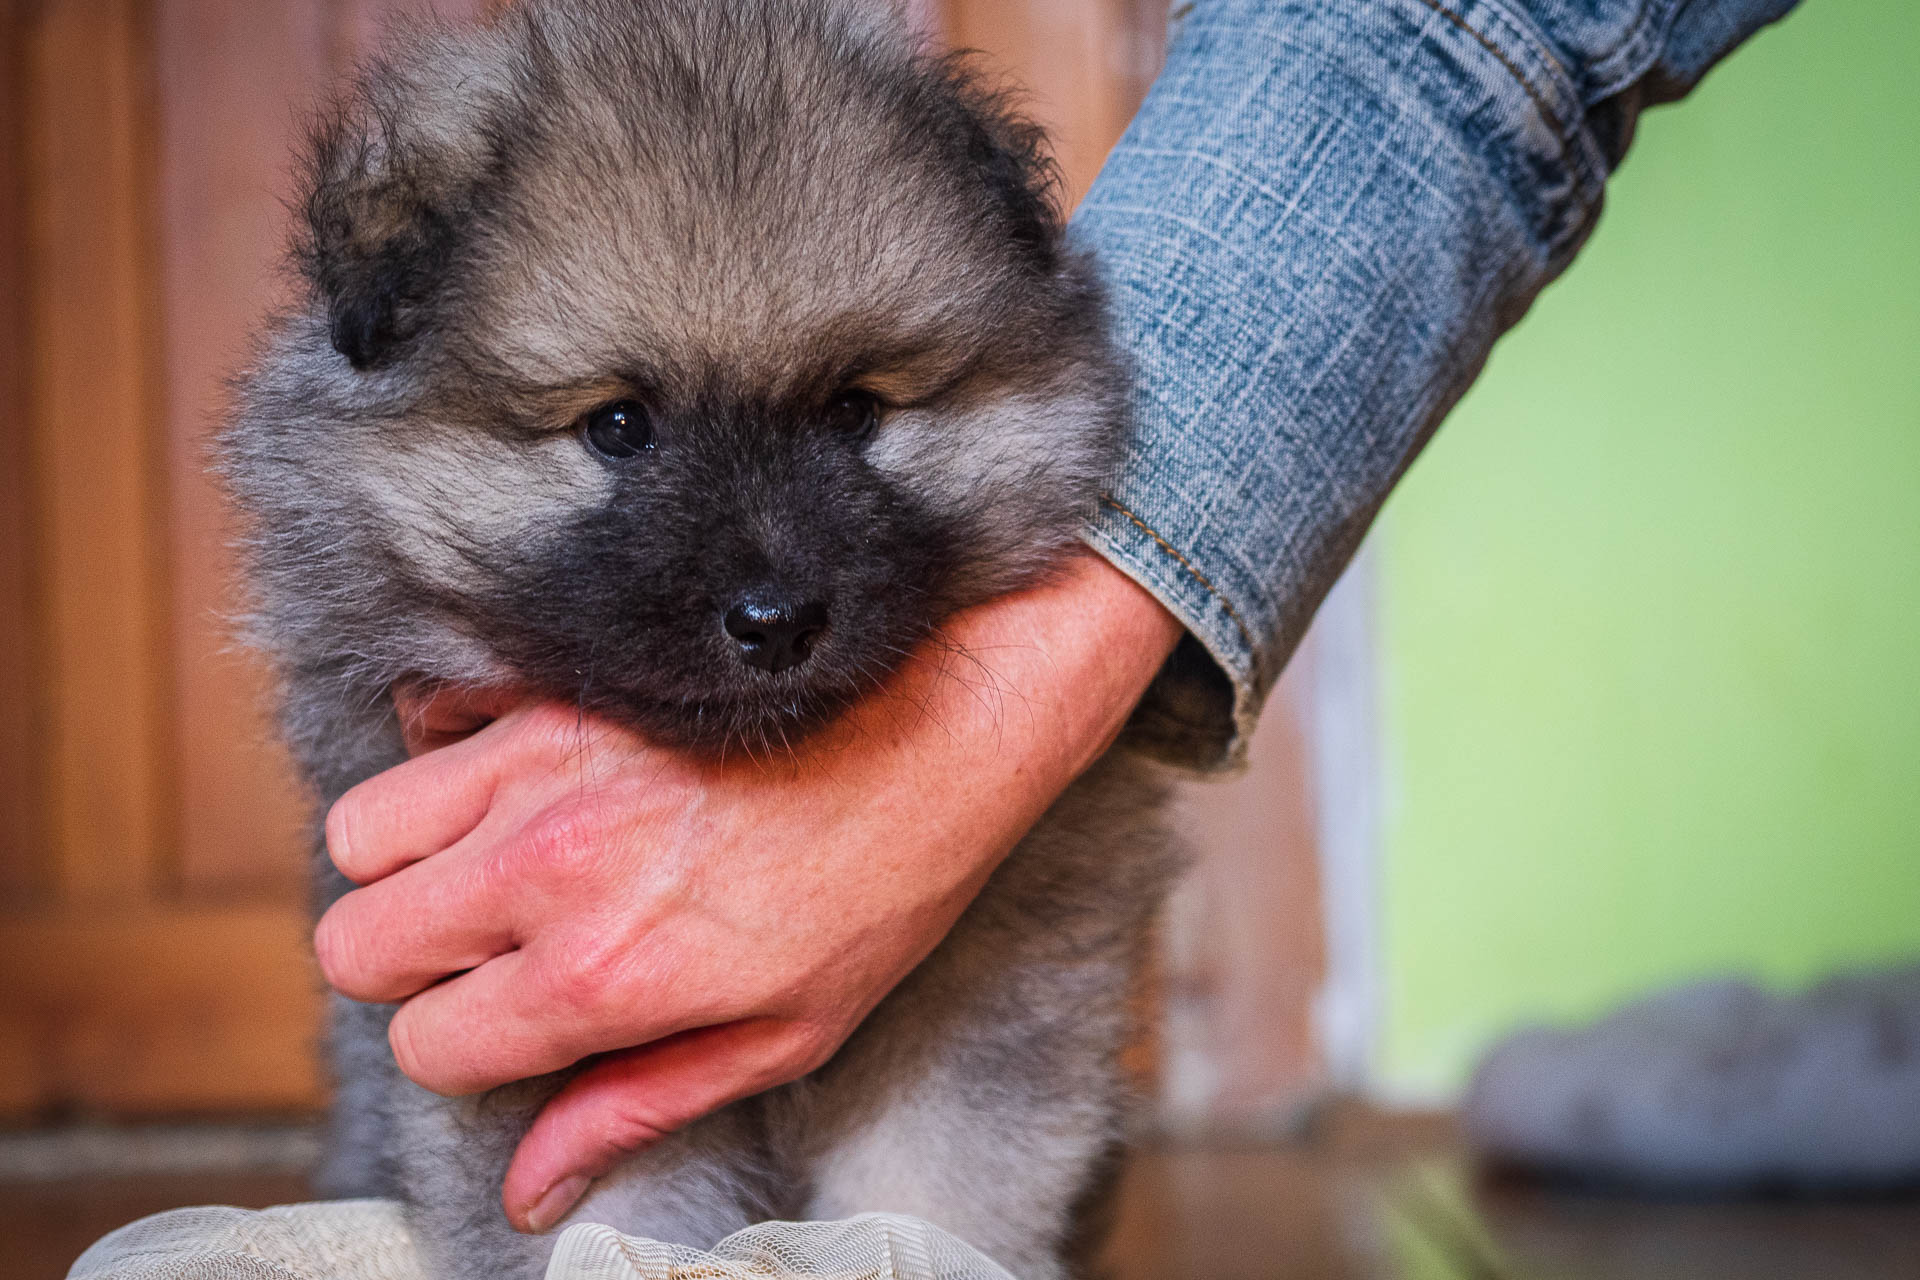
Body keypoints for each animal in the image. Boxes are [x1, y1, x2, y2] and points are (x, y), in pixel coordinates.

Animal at [228, 2, 1182, 1280]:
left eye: (854, 410)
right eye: (619, 425)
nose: (776, 620)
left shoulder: (988, 997)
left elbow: (936, 1197)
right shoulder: (528, 1035)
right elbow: (614, 1224)